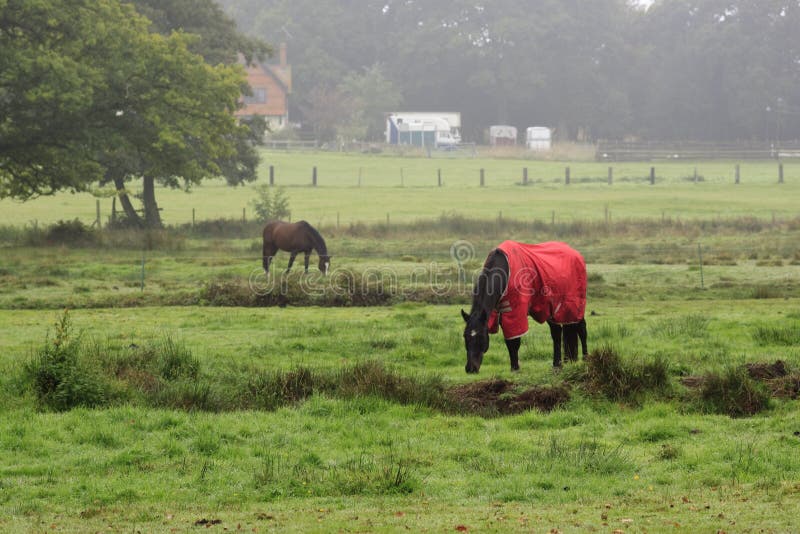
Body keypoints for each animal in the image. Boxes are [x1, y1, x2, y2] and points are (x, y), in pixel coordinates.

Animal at [462, 240, 587, 373]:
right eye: (465, 336)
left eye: (481, 336)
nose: (470, 368)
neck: (506, 272)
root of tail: (576, 255)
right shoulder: (501, 311)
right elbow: (509, 342)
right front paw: (514, 366)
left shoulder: (516, 312)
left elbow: (514, 342)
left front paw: (515, 368)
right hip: (554, 309)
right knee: (558, 333)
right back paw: (560, 363)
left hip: (574, 305)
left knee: (581, 328)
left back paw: (584, 358)